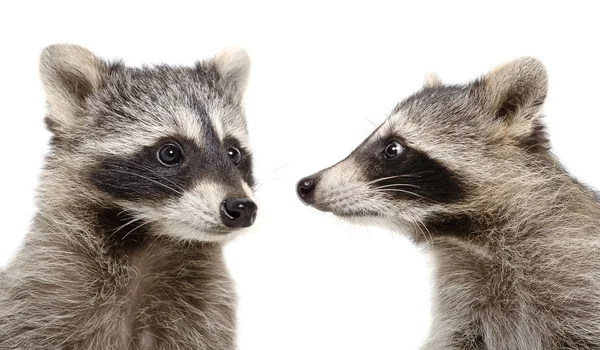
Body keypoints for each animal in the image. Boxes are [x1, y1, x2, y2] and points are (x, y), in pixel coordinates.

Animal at [0, 45, 255, 348]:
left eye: (233, 152)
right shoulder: (41, 291)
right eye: (170, 152)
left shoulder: (205, 310)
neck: (151, 239)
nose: (242, 207)